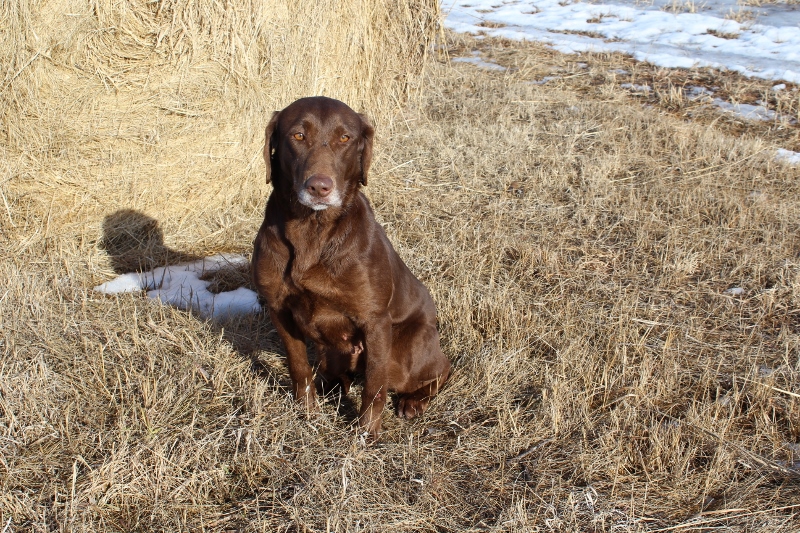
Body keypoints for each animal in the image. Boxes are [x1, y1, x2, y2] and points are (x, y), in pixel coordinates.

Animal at [250, 95, 450, 436]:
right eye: (297, 135)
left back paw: (413, 401)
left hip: (405, 354)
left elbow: (374, 386)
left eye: (345, 138)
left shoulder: (375, 322)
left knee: (439, 370)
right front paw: (307, 411)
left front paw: (366, 434)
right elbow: (298, 366)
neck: (312, 229)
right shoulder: (279, 309)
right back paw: (331, 387)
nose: (319, 187)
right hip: (331, 352)